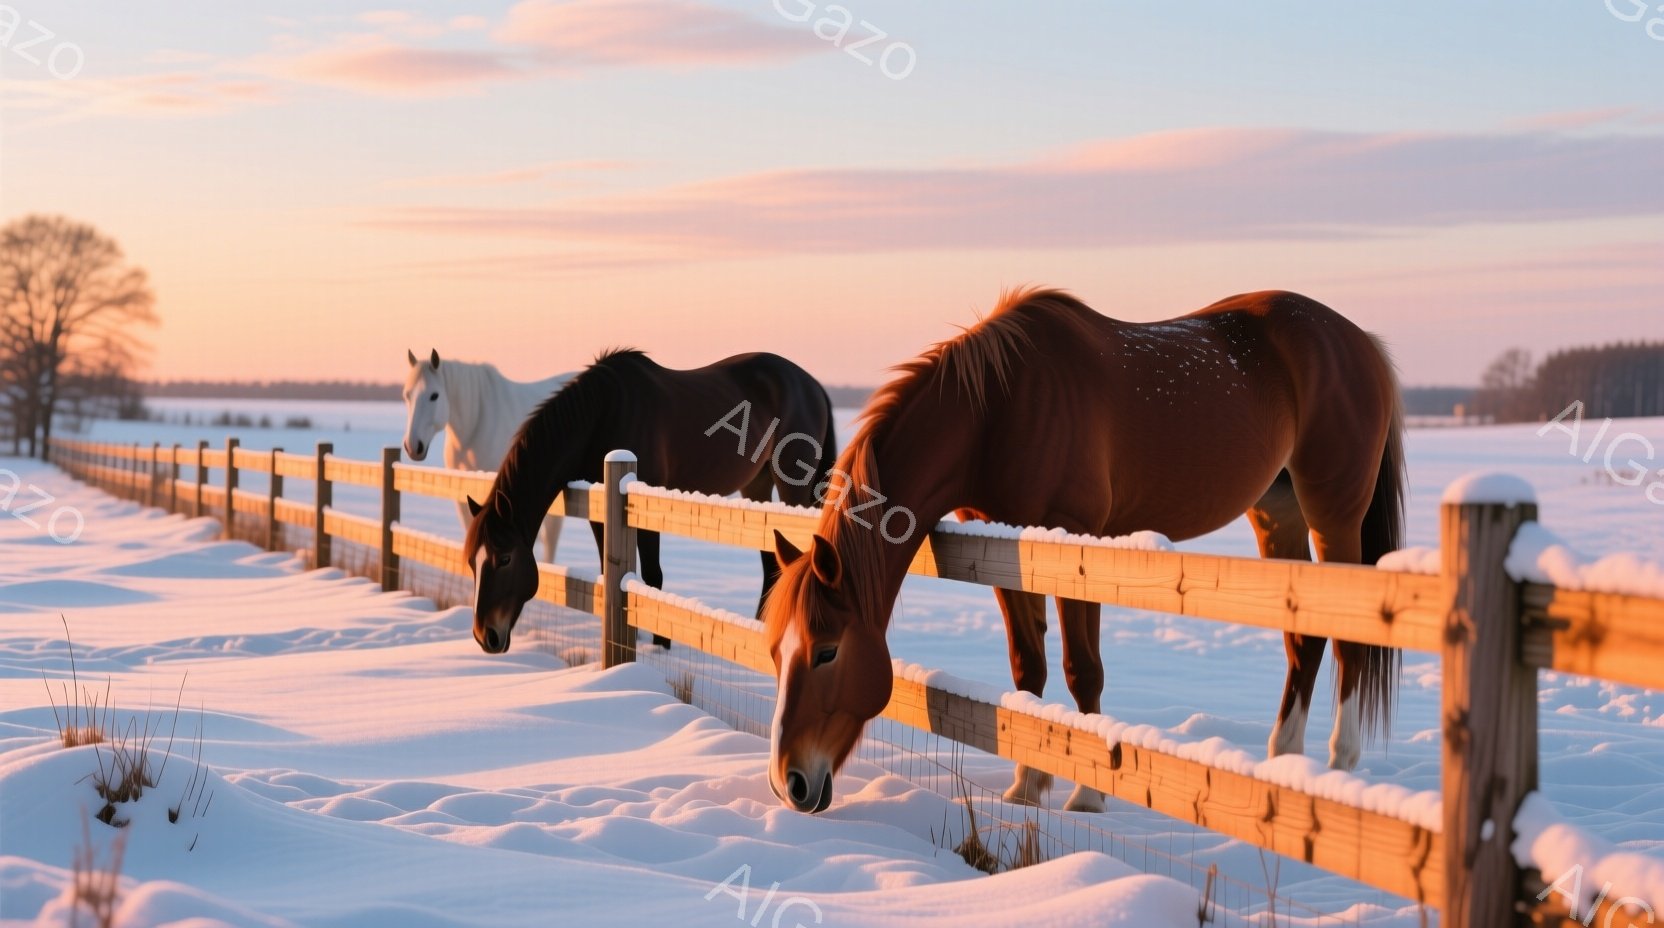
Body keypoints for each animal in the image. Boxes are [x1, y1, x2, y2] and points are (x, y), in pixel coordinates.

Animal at [465, 348, 837, 655]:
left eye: (505, 558)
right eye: (471, 561)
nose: (486, 636)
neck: (601, 415)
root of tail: (812, 385)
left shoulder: (644, 505)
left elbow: (653, 576)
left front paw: (661, 645)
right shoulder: (599, 513)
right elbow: (609, 571)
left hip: (792, 486)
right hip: (756, 486)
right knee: (769, 560)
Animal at [761, 287, 1404, 814]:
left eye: (825, 651)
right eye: (774, 650)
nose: (789, 781)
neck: (997, 408)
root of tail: (1358, 342)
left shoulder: (1078, 544)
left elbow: (1082, 670)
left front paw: (1088, 794)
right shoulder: (999, 545)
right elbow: (1028, 667)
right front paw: (1026, 787)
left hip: (1334, 512)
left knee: (1348, 636)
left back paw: (1339, 765)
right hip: (1278, 512)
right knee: (1304, 635)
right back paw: (1283, 762)